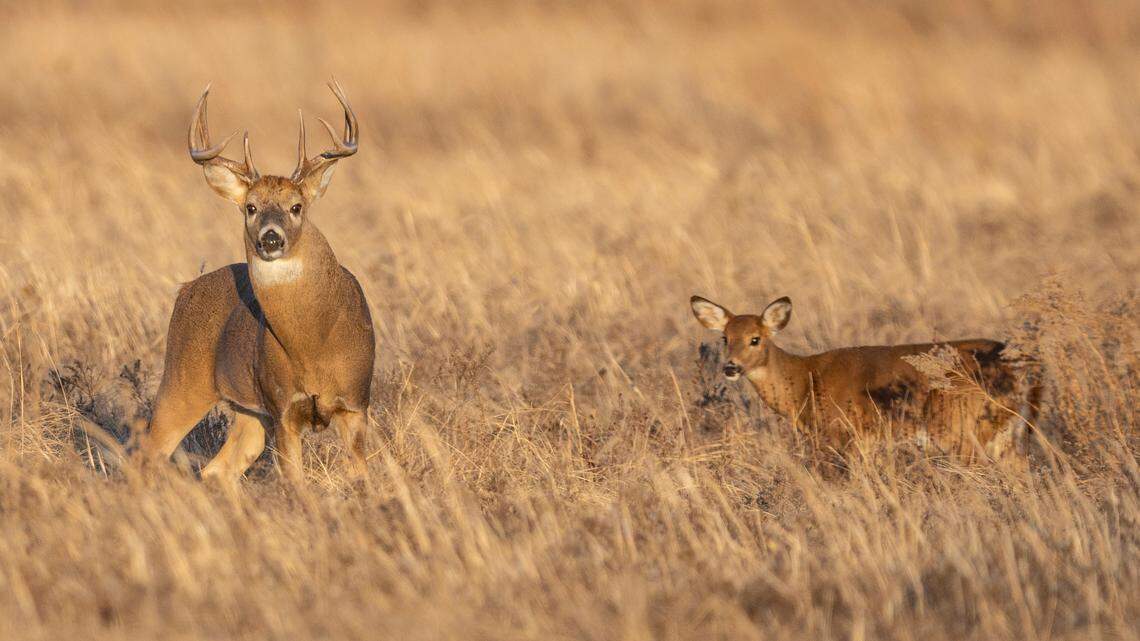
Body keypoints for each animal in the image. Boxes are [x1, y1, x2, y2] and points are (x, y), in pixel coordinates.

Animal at [135, 81, 375, 485]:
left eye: (296, 206)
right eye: (251, 207)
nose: (271, 238)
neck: (314, 343)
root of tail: (186, 289)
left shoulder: (356, 403)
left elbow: (363, 477)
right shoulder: (281, 409)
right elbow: (296, 484)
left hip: (248, 413)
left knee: (217, 469)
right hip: (182, 380)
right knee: (148, 454)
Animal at [689, 295, 1040, 463]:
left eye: (756, 339)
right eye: (725, 338)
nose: (731, 367)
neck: (804, 381)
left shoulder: (843, 435)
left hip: (965, 429)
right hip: (1009, 435)